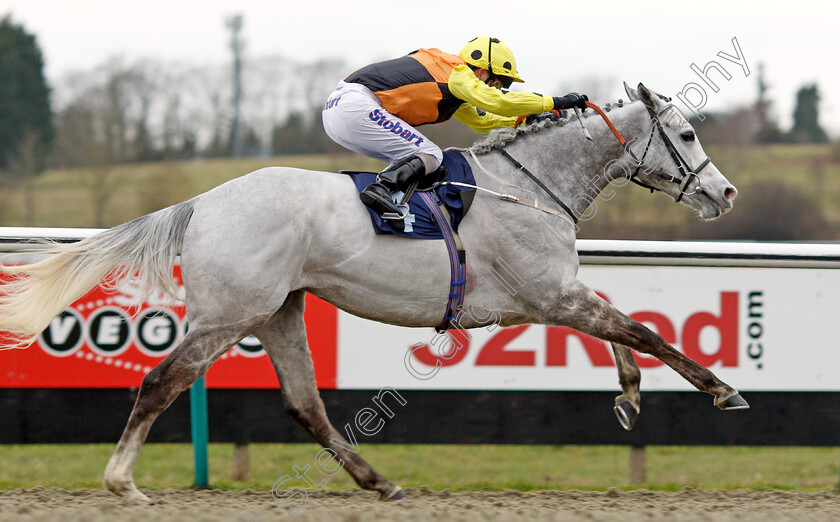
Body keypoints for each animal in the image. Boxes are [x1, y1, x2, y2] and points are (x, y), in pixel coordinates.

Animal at [0, 82, 748, 500]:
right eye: (686, 133)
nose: (725, 194)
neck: (532, 184)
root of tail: (203, 204)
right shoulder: (548, 295)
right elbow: (641, 329)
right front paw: (721, 390)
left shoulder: (556, 295)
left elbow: (622, 329)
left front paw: (628, 396)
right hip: (228, 314)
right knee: (161, 381)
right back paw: (122, 482)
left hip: (279, 311)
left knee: (304, 403)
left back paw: (377, 480)